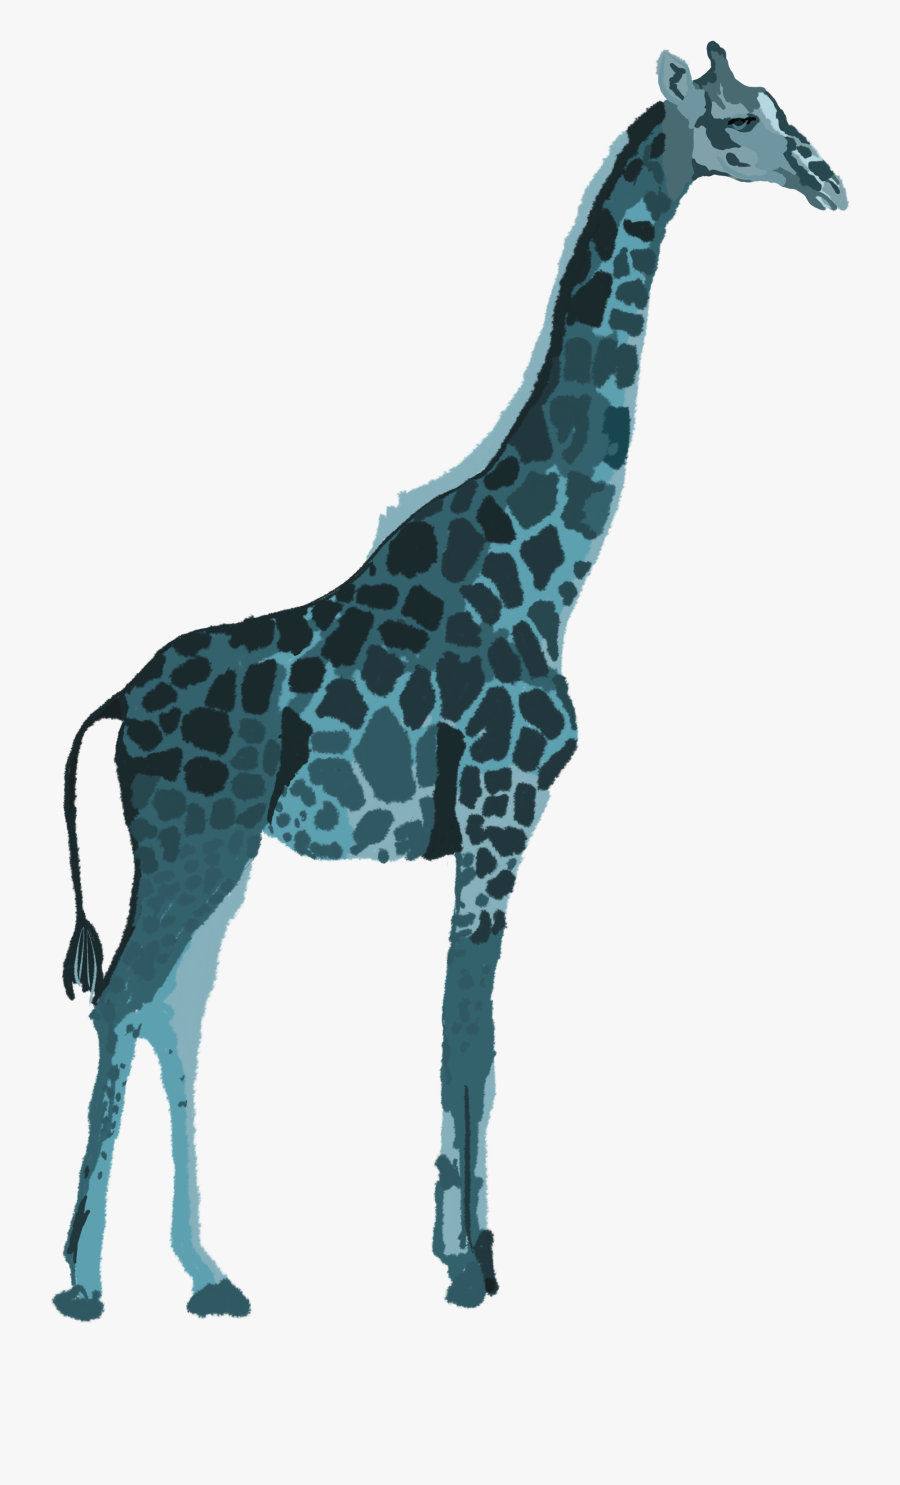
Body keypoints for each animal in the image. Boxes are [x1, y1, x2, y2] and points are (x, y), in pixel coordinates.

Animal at [53, 43, 846, 1320]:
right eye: (733, 121)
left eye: (776, 111)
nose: (828, 179)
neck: (554, 569)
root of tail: (118, 705)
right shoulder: (502, 804)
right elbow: (469, 1023)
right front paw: (472, 1265)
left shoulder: (491, 823)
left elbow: (465, 1024)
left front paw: (455, 1249)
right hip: (192, 838)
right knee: (127, 1001)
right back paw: (80, 1280)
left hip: (216, 850)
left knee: (176, 1013)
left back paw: (210, 1274)